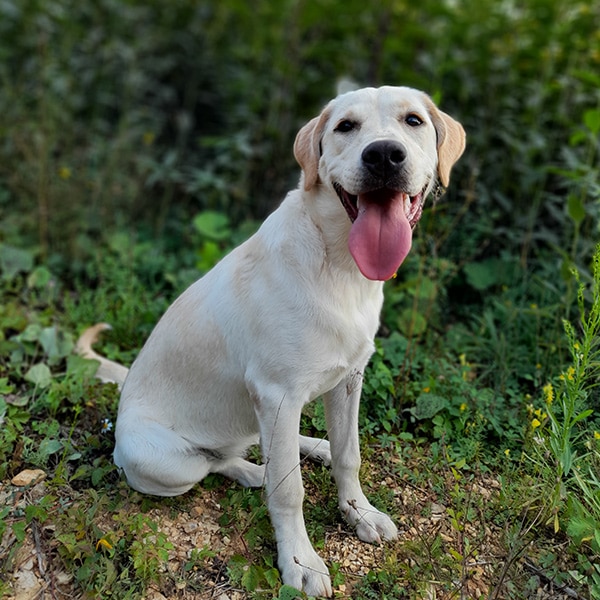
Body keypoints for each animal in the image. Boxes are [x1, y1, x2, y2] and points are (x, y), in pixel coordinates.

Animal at [77, 85, 466, 596]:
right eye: (345, 127)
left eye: (413, 121)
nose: (383, 155)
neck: (339, 268)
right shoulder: (277, 394)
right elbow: (288, 491)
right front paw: (299, 561)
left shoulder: (349, 380)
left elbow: (349, 454)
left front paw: (359, 512)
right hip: (162, 462)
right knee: (218, 463)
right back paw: (253, 472)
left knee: (257, 448)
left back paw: (311, 447)